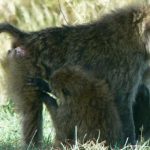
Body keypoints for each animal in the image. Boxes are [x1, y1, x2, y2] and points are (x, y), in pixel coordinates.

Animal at [0, 4, 150, 146]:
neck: (134, 34)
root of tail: (26, 37)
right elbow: (123, 102)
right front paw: (129, 144)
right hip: (23, 66)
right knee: (32, 111)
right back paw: (33, 144)